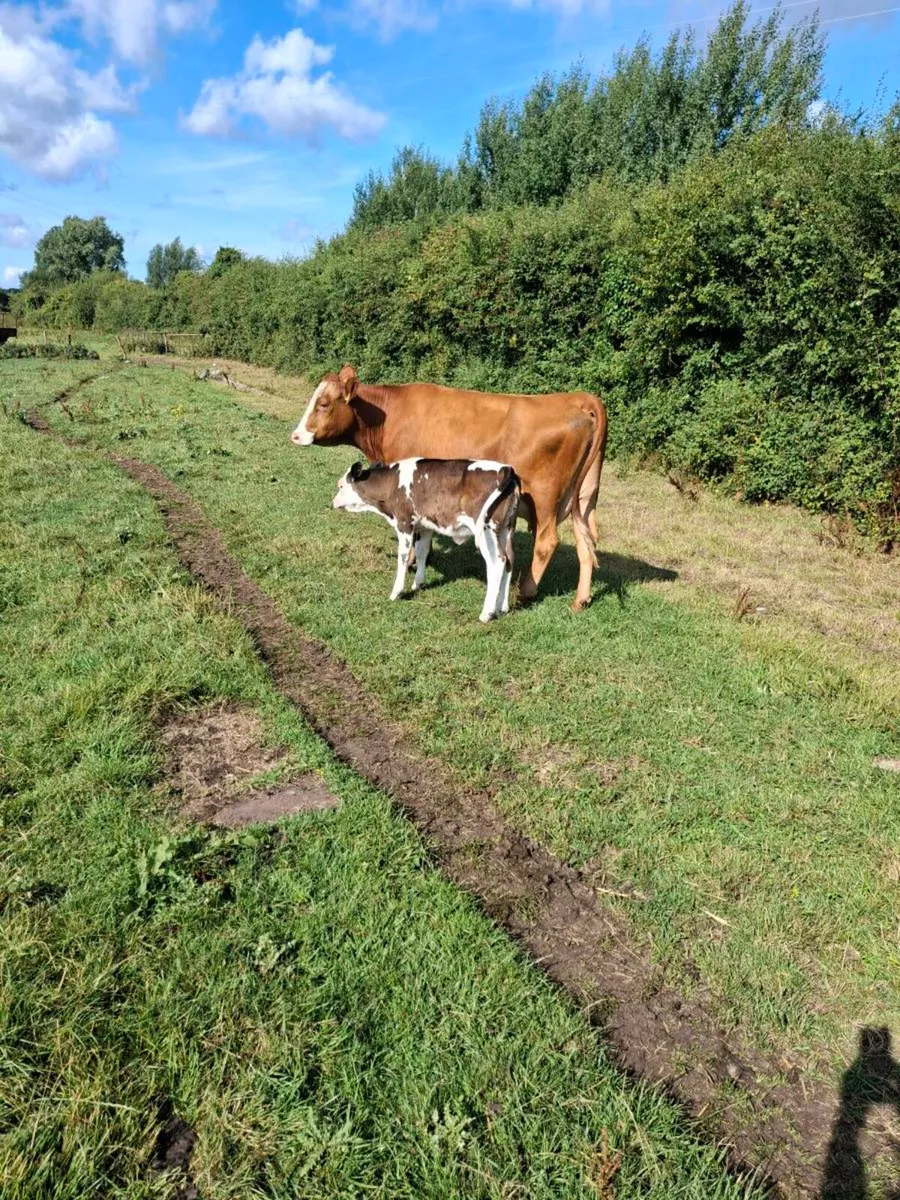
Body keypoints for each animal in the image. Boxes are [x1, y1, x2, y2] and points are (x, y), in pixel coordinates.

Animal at [331, 458, 520, 623]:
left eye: (340, 486)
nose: (332, 502)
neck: (391, 484)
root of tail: (506, 469)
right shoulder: (424, 527)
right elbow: (422, 552)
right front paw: (418, 584)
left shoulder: (404, 524)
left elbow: (403, 558)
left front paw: (397, 593)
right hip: (506, 529)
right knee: (510, 560)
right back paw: (502, 607)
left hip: (487, 530)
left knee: (497, 563)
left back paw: (487, 613)